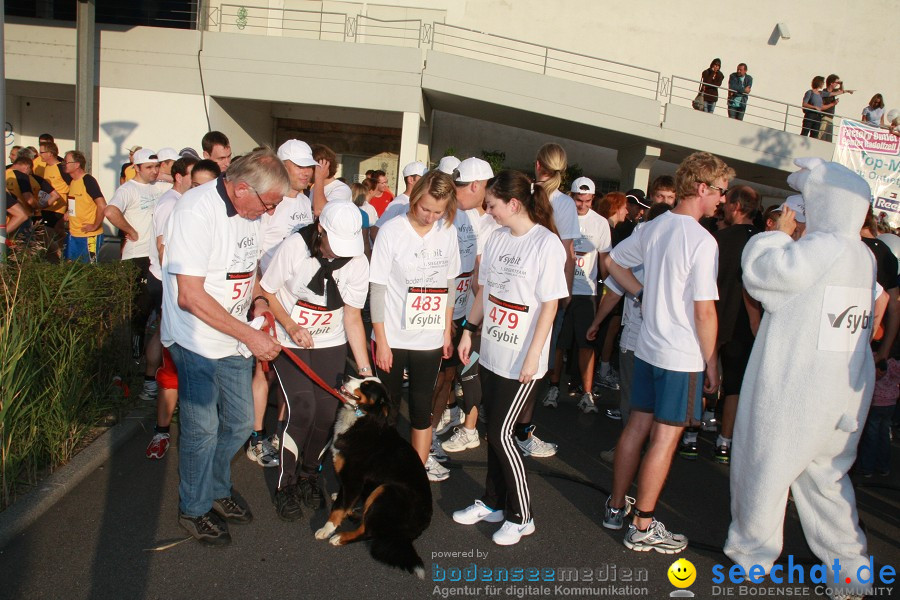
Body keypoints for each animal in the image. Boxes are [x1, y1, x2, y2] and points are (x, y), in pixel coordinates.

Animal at [312, 378, 432, 580]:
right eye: (361, 377)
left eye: (365, 386)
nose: (345, 377)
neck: (363, 418)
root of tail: (416, 530)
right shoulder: (350, 480)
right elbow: (343, 500)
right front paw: (340, 501)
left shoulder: (354, 479)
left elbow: (338, 509)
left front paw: (327, 529)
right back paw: (355, 512)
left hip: (387, 490)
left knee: (367, 531)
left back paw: (340, 537)